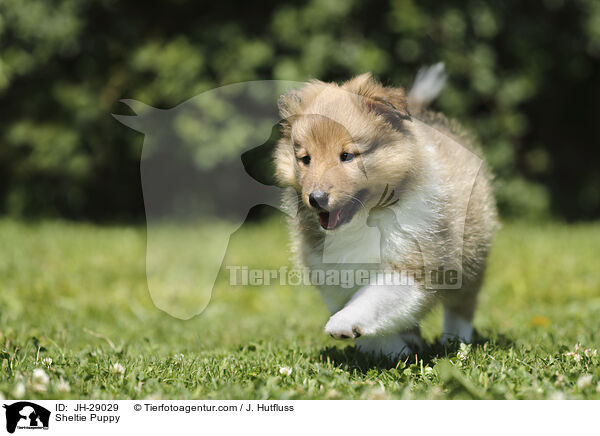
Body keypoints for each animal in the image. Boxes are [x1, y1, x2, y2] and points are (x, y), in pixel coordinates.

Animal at [274, 65, 496, 358]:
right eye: (305, 159)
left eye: (347, 156)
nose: (316, 198)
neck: (364, 219)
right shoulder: (330, 273)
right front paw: (389, 350)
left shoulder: (413, 263)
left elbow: (373, 297)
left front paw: (343, 324)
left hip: (470, 252)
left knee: (462, 305)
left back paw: (456, 342)